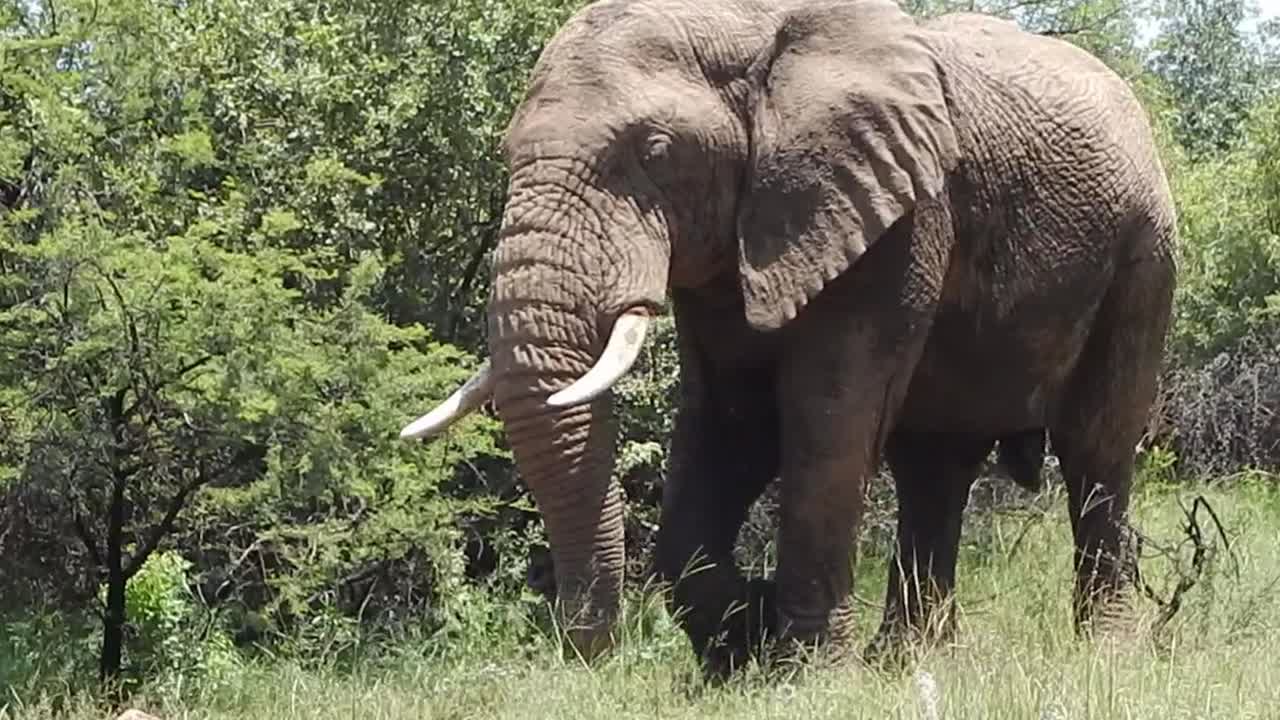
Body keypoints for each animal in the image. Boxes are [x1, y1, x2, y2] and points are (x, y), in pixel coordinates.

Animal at [400, 0, 1177, 673]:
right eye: (507, 154)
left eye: (656, 149)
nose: (590, 650)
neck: (753, 31)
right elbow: (732, 420)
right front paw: (743, 638)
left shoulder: (897, 211)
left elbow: (826, 420)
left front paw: (801, 670)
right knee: (934, 467)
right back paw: (908, 663)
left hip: (1143, 256)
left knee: (1096, 449)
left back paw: (1104, 652)